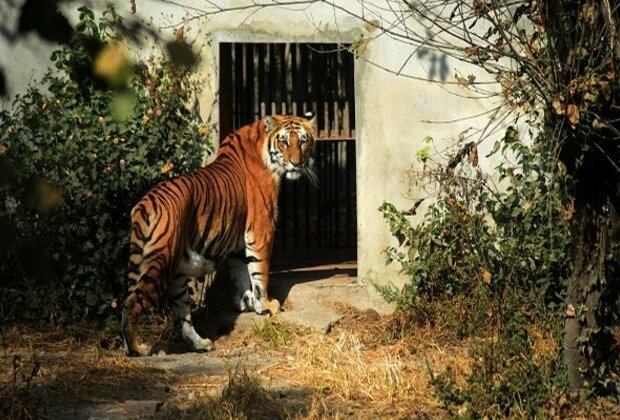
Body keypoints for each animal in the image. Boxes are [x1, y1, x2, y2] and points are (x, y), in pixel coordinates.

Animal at [120, 114, 314, 354]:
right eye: (285, 142)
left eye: (303, 141)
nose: (297, 163)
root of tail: (144, 204)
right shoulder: (261, 231)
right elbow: (260, 273)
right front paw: (266, 306)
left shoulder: (239, 243)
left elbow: (241, 273)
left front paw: (245, 302)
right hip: (160, 262)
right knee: (130, 303)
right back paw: (137, 348)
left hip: (176, 275)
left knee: (182, 315)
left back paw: (200, 343)